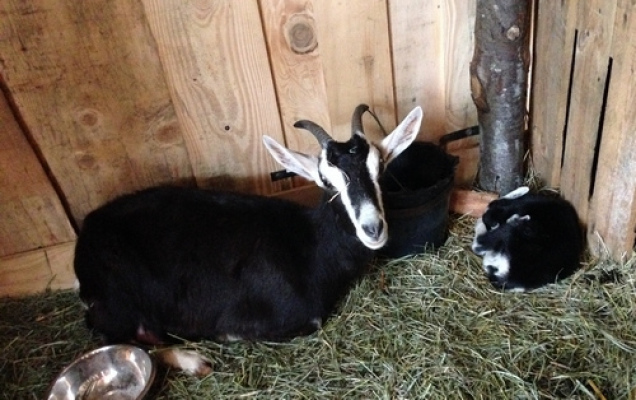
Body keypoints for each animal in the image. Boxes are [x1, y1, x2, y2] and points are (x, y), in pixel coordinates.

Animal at [74, 104, 422, 376]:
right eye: (326, 180)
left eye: (380, 167)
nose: (373, 228)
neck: (310, 244)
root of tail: (87, 233)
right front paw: (226, 336)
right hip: (117, 304)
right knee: (113, 338)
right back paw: (193, 361)